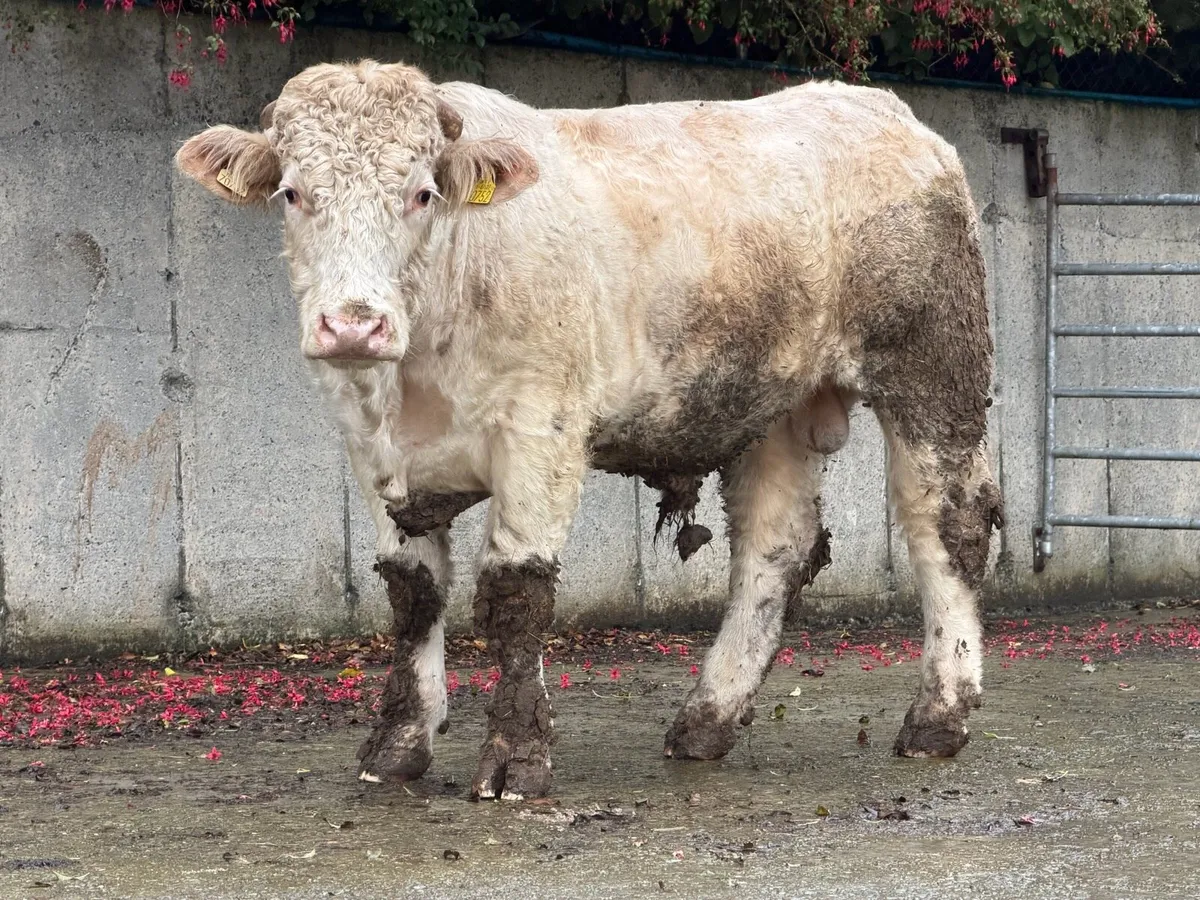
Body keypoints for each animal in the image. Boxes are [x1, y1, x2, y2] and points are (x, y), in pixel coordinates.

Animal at [176, 59, 1003, 801]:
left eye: (422, 193)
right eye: (292, 192)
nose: (353, 323)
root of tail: (882, 110)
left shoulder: (541, 432)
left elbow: (517, 595)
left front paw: (515, 761)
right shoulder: (370, 447)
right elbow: (413, 592)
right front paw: (398, 744)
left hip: (936, 367)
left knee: (947, 525)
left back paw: (937, 717)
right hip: (774, 403)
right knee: (775, 548)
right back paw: (705, 721)